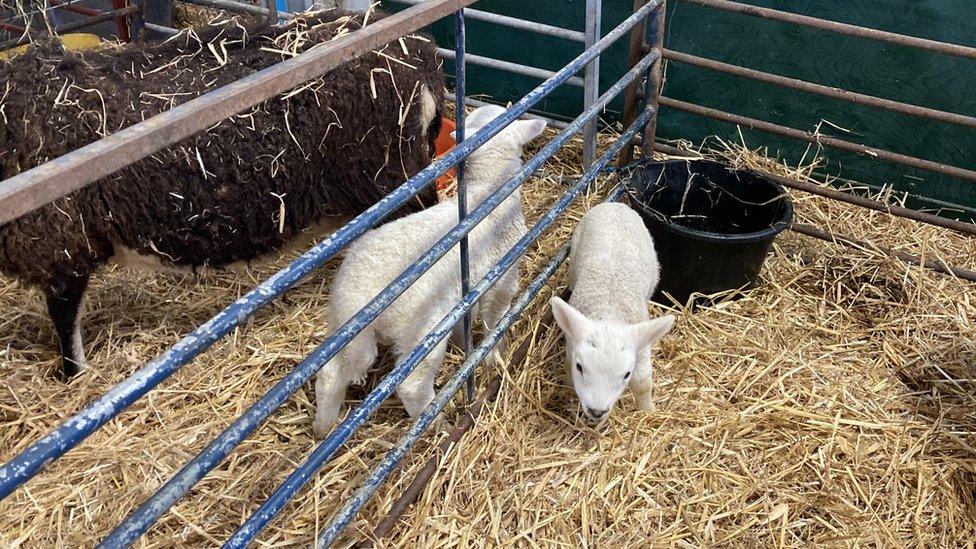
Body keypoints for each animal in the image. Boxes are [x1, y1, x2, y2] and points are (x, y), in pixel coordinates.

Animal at [312, 104, 544, 436]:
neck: (488, 190)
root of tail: (357, 300)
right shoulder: (502, 275)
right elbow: (495, 319)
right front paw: (494, 355)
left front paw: (466, 346)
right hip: (421, 331)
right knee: (411, 385)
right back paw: (437, 424)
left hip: (339, 328)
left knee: (330, 374)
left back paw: (323, 426)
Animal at [548, 202, 680, 424]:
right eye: (580, 367)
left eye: (626, 374)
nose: (597, 411)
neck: (609, 310)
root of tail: (614, 204)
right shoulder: (571, 343)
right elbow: (566, 365)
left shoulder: (641, 347)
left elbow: (643, 382)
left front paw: (648, 411)